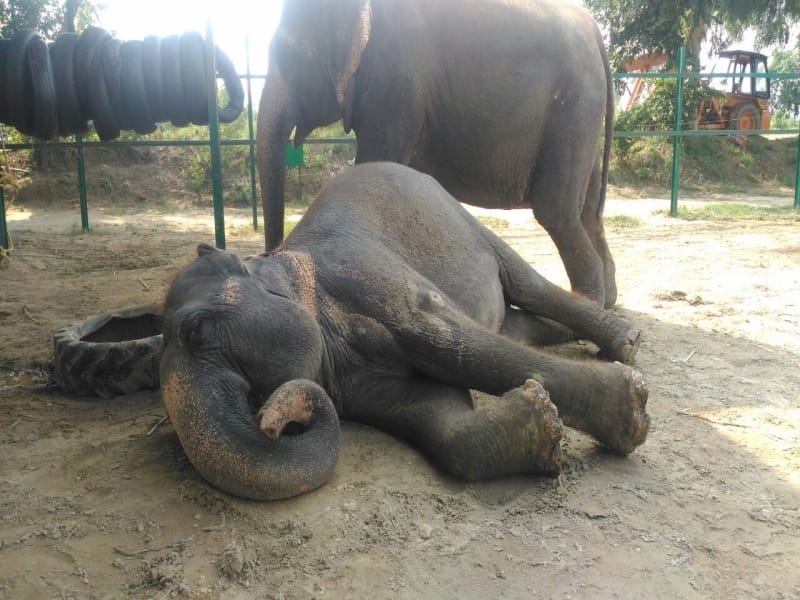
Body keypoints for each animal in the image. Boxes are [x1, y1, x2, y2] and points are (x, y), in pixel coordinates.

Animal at [160, 162, 649, 501]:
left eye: (197, 331)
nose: (270, 421)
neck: (285, 265)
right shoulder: (354, 380)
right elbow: (439, 414)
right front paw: (542, 427)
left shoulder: (371, 279)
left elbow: (450, 344)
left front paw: (632, 411)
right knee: (513, 321)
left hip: (463, 218)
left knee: (528, 285)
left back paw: (627, 343)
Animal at [257, 0, 617, 307]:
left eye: (290, 56)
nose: (267, 259)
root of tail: (595, 32)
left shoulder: (397, 81)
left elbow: (376, 163)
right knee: (589, 210)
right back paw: (609, 301)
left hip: (574, 103)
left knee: (556, 211)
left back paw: (590, 302)